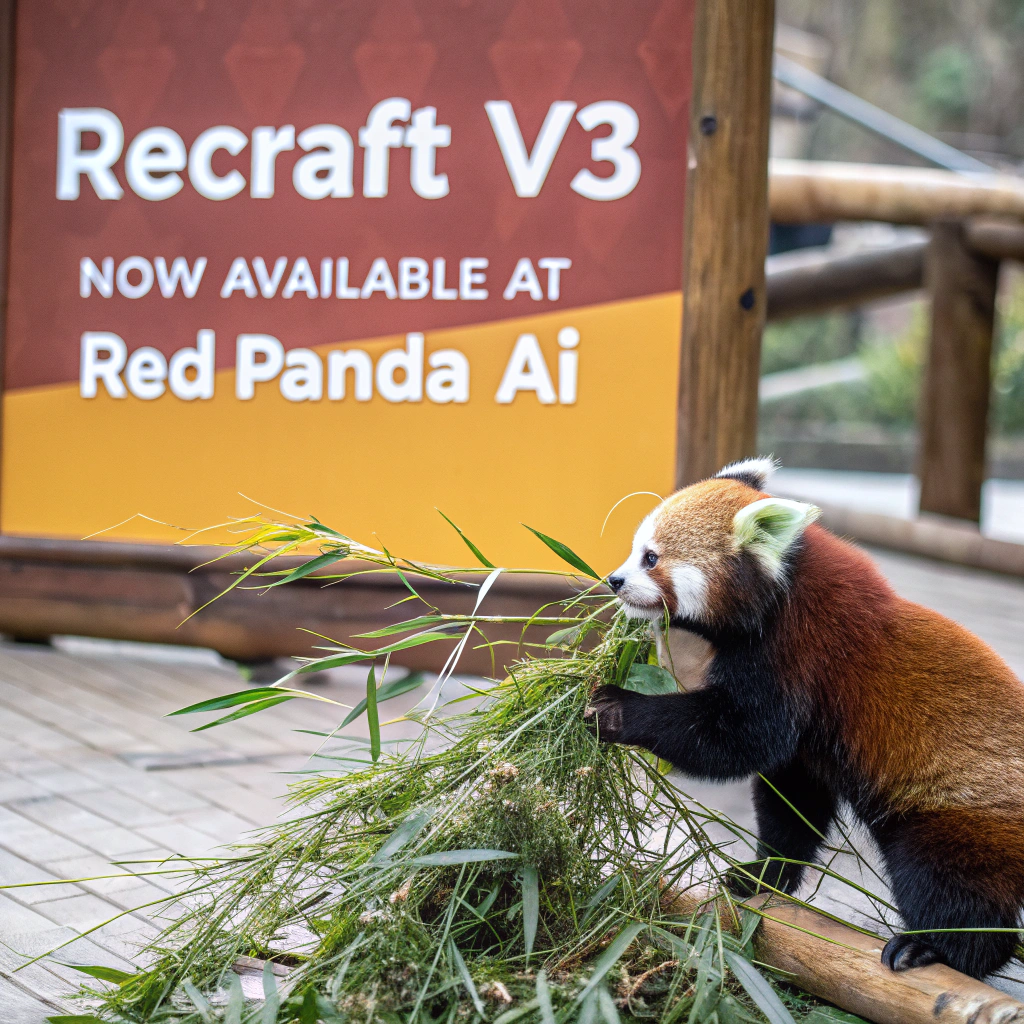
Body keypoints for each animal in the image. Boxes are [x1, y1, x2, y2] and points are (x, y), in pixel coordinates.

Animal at [587, 457, 1024, 980]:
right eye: (636, 551)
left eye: (651, 558)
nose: (614, 580)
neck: (778, 596)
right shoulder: (808, 745)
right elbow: (791, 806)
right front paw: (762, 875)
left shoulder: (799, 655)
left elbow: (735, 740)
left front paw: (617, 708)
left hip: (960, 818)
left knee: (947, 886)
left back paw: (936, 948)